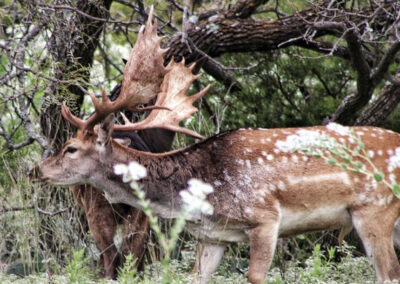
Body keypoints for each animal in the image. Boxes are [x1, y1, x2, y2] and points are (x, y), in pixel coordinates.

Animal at [39, 6, 400, 284]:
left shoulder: (265, 217)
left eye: (71, 147)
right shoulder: (212, 236)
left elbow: (256, 276)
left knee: (388, 274)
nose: (40, 169)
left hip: (374, 210)